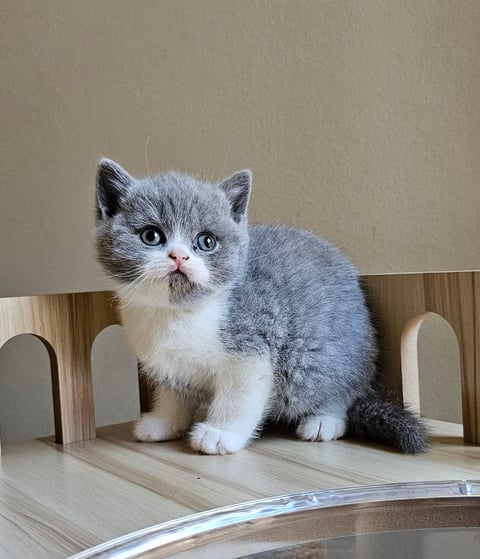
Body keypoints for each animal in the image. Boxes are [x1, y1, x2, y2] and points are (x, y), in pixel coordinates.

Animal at [95, 160, 426, 458]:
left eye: (206, 241)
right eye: (151, 236)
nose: (179, 256)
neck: (176, 314)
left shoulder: (251, 344)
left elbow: (238, 396)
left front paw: (220, 433)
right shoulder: (171, 366)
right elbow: (174, 395)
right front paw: (165, 422)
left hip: (319, 359)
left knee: (338, 388)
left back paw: (324, 421)